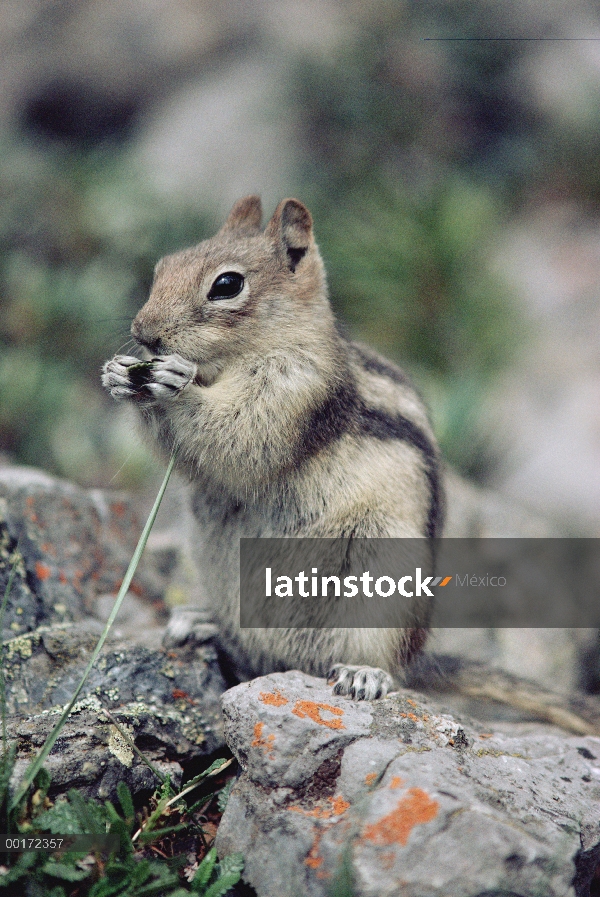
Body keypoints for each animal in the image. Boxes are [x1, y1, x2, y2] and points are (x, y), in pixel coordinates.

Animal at [103, 196, 442, 700]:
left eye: (227, 285)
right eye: (163, 267)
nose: (143, 332)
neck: (229, 365)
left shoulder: (295, 387)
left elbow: (241, 433)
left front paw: (175, 384)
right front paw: (118, 375)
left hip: (381, 584)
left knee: (385, 663)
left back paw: (364, 674)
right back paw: (202, 622)